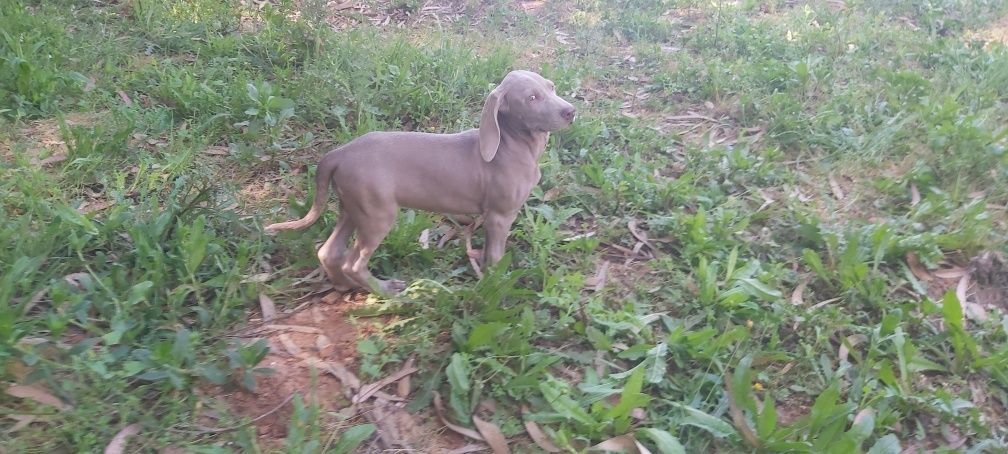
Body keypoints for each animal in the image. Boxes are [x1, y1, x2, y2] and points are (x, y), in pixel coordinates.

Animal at [268, 69, 576, 292]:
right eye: (532, 98)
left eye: (552, 87)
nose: (570, 111)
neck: (511, 145)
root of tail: (338, 153)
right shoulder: (500, 216)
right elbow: (496, 257)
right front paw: (497, 285)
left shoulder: (490, 216)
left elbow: (489, 253)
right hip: (377, 213)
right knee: (353, 263)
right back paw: (384, 290)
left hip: (353, 206)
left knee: (329, 253)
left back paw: (346, 287)